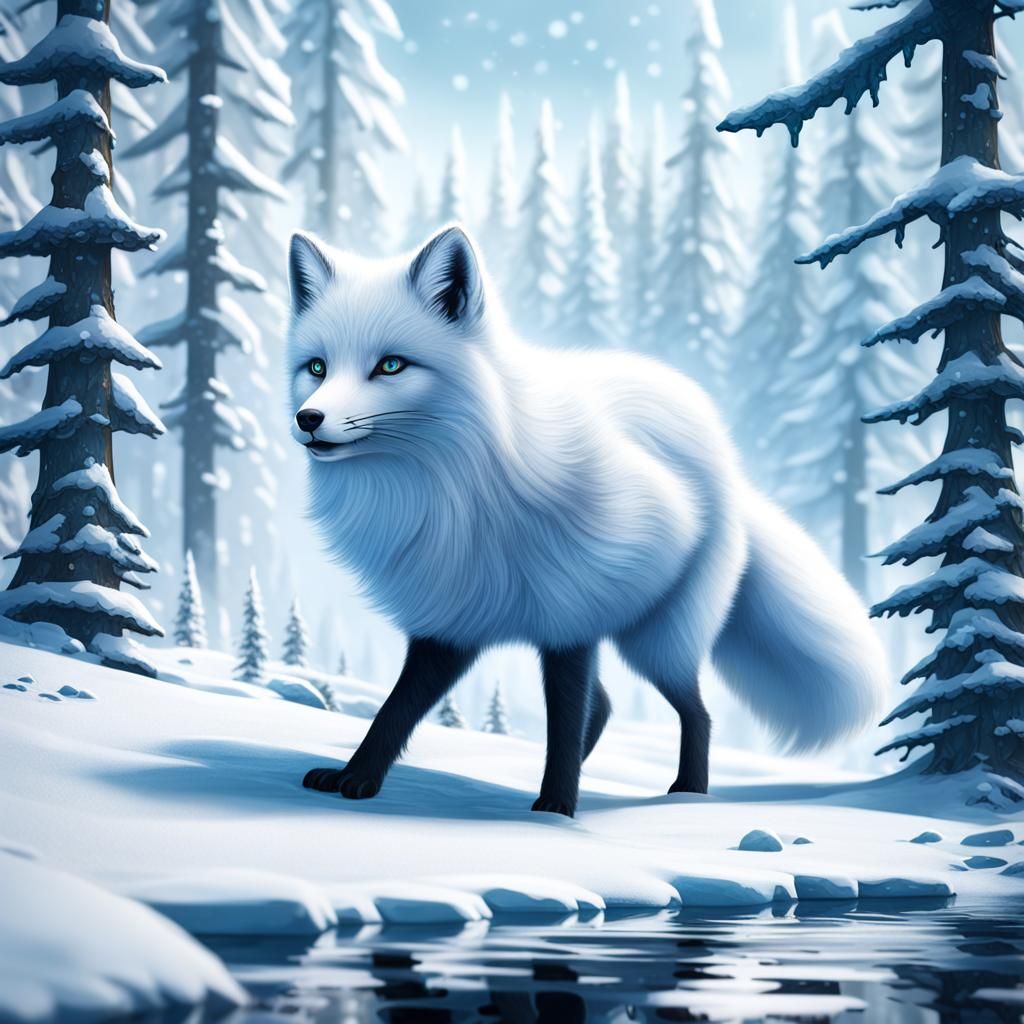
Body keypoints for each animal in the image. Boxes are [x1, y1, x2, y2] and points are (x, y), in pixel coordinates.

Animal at [288, 224, 888, 817]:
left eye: (390, 365)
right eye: (317, 367)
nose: (308, 418)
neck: (454, 487)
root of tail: (725, 458)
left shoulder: (570, 619)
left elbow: (565, 717)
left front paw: (557, 807)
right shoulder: (451, 621)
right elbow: (397, 711)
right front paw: (357, 777)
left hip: (657, 641)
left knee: (693, 712)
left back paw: (687, 793)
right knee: (605, 707)